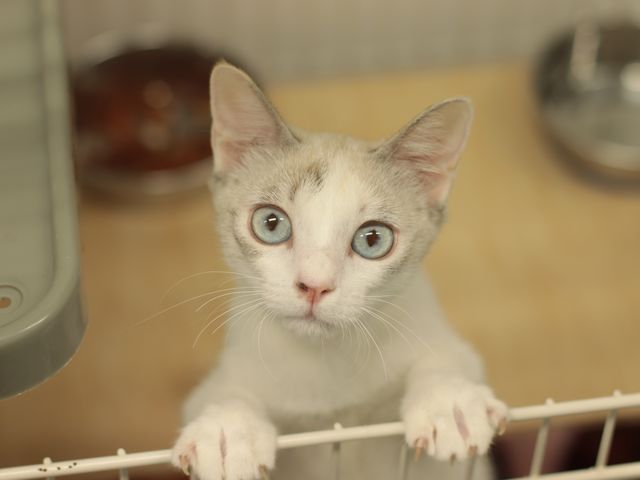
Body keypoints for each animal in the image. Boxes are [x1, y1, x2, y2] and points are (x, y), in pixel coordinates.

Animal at [171, 62, 508, 480]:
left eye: (373, 240)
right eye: (270, 224)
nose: (314, 286)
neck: (327, 364)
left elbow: (443, 360)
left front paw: (450, 403)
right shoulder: (229, 373)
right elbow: (224, 392)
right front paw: (227, 430)